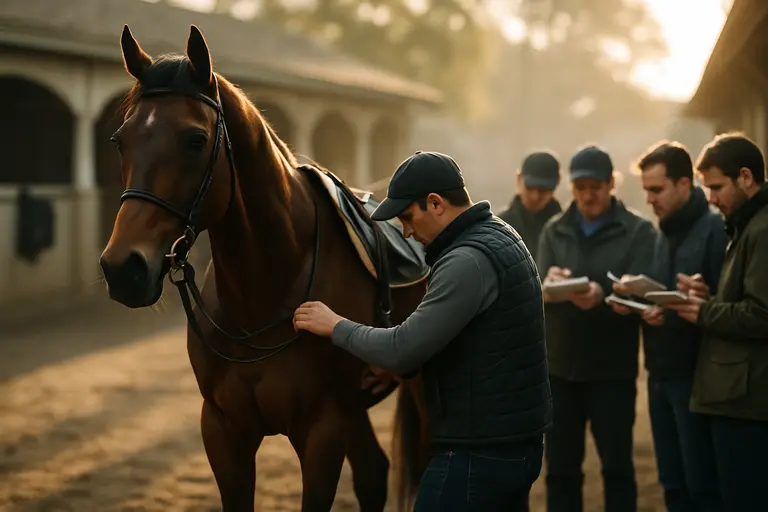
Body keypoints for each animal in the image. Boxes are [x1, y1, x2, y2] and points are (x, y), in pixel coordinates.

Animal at [99, 24, 430, 511]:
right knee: (373, 472)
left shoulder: (321, 433)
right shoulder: (224, 432)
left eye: (195, 139)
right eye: (120, 140)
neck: (265, 292)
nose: (123, 267)